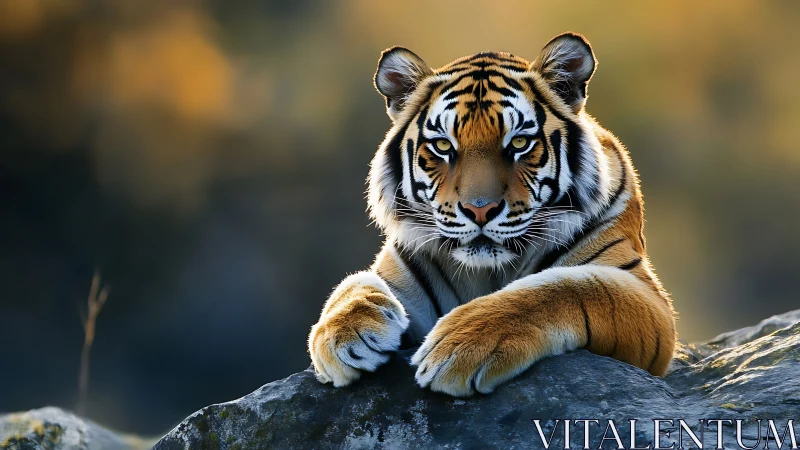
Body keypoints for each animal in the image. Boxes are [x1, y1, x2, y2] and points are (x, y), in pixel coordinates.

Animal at [307, 32, 676, 397]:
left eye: (520, 143)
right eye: (443, 146)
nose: (479, 209)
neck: (486, 273)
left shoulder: (646, 296)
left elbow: (567, 286)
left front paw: (461, 344)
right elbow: (353, 283)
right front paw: (342, 333)